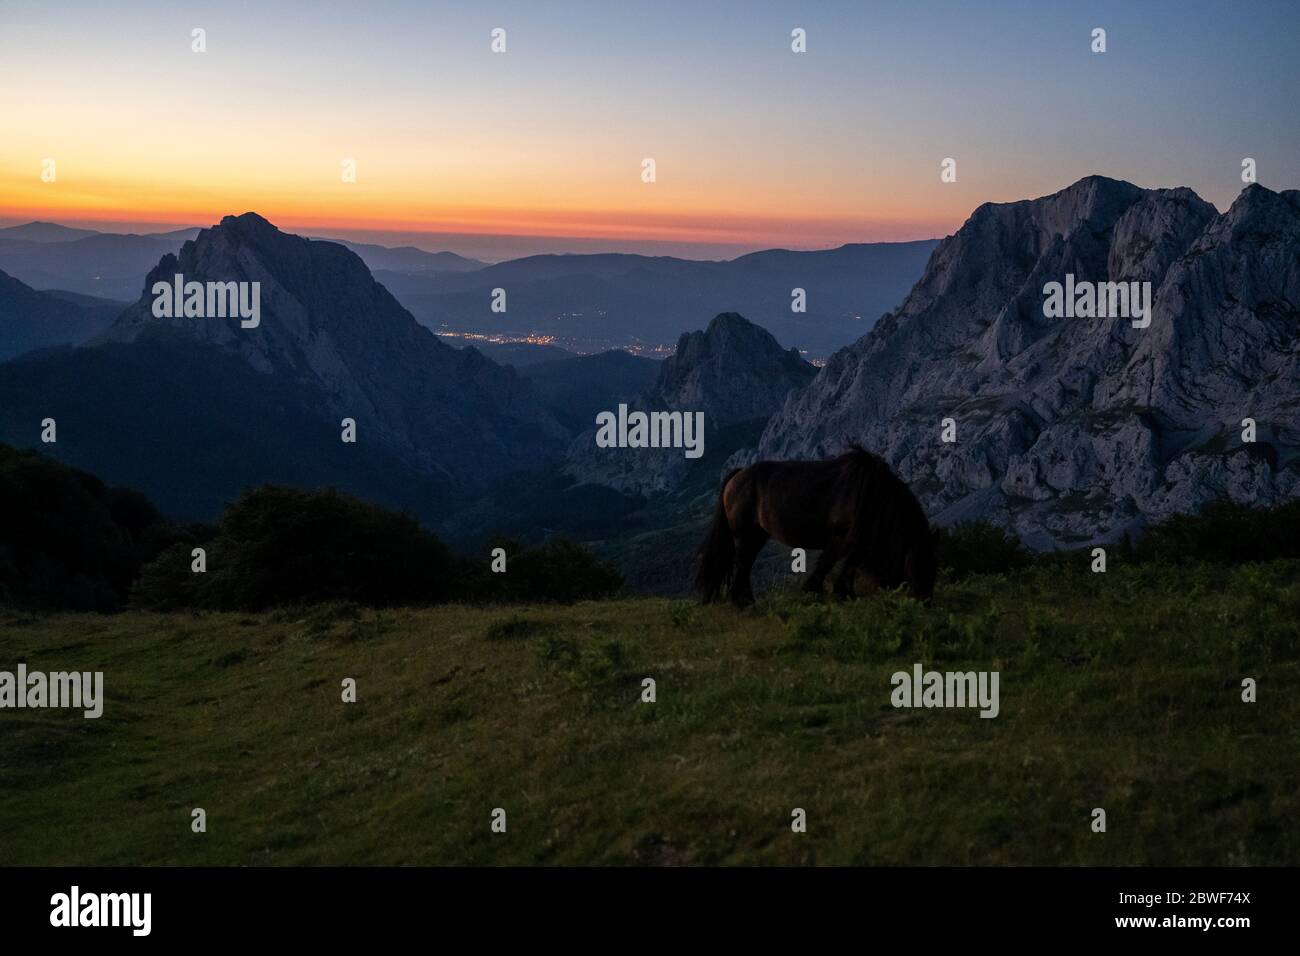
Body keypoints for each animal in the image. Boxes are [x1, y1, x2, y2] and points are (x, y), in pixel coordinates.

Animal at [696, 447, 941, 606]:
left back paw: (747, 601)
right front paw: (817, 593)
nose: (926, 602)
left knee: (745, 566)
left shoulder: (855, 542)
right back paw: (740, 602)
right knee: (743, 565)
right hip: (745, 536)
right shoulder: (840, 539)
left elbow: (848, 566)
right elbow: (827, 564)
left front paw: (844, 594)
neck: (871, 494)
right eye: (924, 561)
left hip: (756, 536)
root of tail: (738, 475)